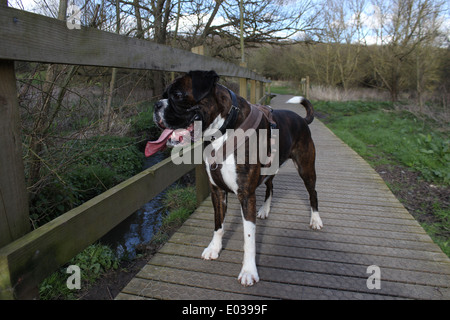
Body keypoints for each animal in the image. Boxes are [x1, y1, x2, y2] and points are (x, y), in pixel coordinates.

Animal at [152, 70, 324, 284]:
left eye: (177, 95)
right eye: (164, 95)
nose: (156, 105)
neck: (223, 130)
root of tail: (301, 119)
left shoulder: (246, 195)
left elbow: (248, 237)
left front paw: (249, 270)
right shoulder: (217, 191)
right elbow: (218, 224)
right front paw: (214, 248)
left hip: (306, 169)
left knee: (313, 193)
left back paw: (316, 220)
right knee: (270, 186)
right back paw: (265, 210)